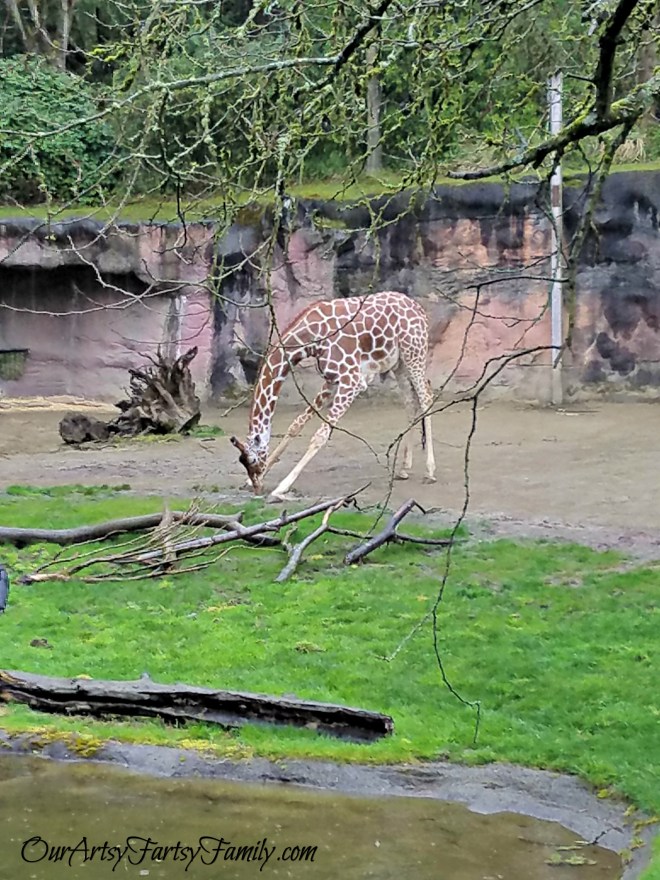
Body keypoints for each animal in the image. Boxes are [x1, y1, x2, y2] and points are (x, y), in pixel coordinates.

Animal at [231, 290, 436, 500]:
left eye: (252, 459)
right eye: (242, 461)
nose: (258, 487)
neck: (311, 337)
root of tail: (419, 309)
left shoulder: (352, 381)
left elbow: (320, 436)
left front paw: (282, 487)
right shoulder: (331, 380)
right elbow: (296, 424)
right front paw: (250, 481)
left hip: (414, 353)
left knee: (426, 396)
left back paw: (430, 471)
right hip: (398, 362)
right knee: (410, 401)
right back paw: (404, 468)